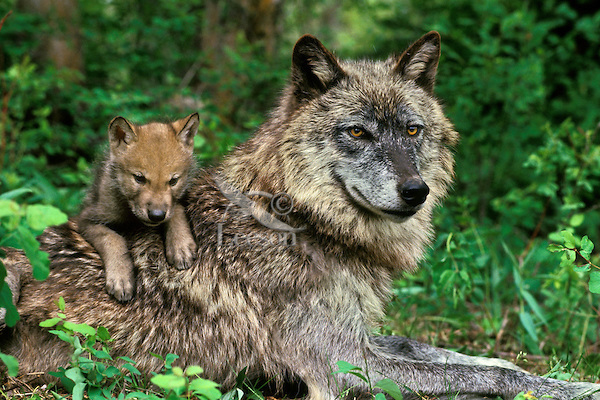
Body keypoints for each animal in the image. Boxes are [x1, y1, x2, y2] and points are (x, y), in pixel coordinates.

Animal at [1, 32, 600, 400]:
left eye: (412, 130)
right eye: (357, 132)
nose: (415, 191)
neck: (300, 220)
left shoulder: (360, 336)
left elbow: (474, 361)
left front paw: (557, 378)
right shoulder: (339, 364)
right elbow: (482, 377)